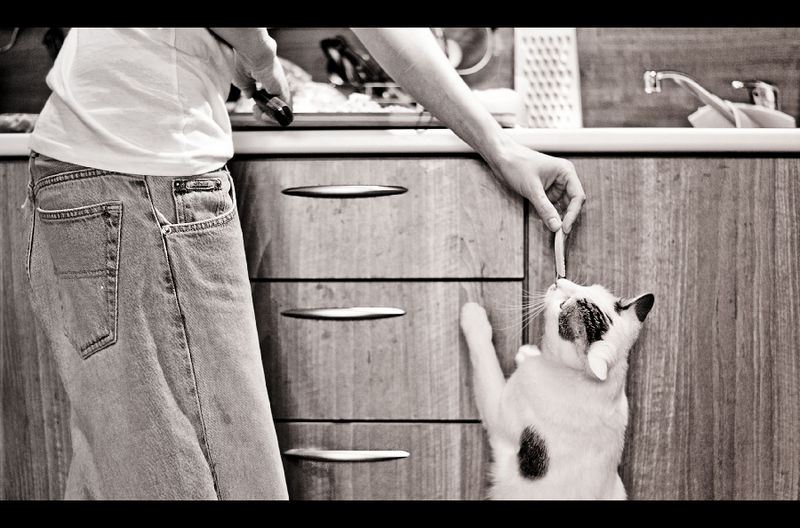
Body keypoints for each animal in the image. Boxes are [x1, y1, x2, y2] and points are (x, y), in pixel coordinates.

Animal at [460, 278, 654, 500]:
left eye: (562, 305)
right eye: (589, 287)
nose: (558, 281)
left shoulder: (499, 414)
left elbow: (485, 359)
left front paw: (472, 316)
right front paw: (528, 353)